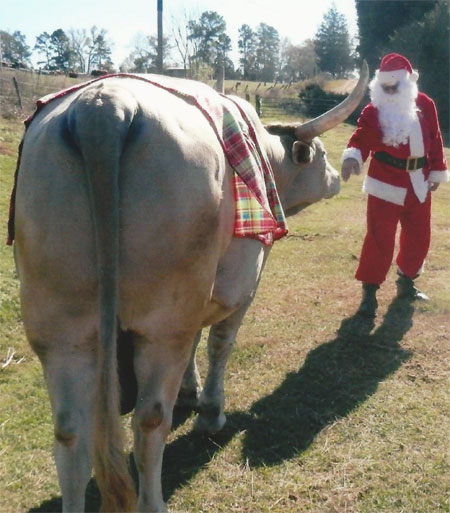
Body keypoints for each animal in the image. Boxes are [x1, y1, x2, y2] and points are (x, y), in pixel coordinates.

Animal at [12, 62, 368, 510]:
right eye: (319, 154)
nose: (339, 177)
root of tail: (106, 106)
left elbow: (198, 342)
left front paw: (188, 391)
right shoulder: (242, 286)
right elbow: (219, 344)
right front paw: (210, 412)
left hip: (61, 330)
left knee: (69, 431)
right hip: (162, 326)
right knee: (148, 421)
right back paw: (153, 499)